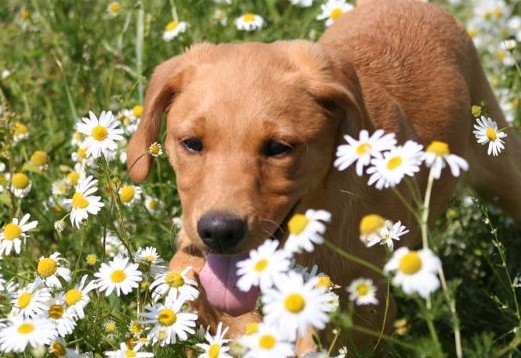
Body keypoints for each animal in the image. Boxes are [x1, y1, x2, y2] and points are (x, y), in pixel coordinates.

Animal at [126, 0, 520, 354]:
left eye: (278, 148)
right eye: (191, 143)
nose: (219, 232)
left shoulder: (366, 312)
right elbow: (189, 275)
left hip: (499, 164)